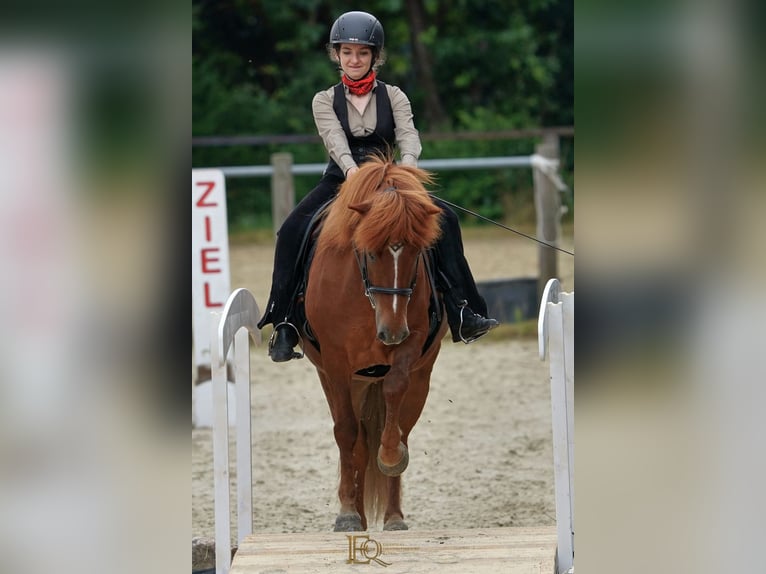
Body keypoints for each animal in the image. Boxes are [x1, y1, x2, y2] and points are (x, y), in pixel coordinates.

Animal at [302, 155, 450, 532]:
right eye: (369, 253)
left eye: (417, 252)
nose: (391, 331)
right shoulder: (336, 365)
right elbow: (346, 434)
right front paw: (346, 514)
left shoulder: (412, 343)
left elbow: (394, 398)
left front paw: (391, 457)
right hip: (342, 380)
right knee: (354, 442)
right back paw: (357, 514)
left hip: (418, 379)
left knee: (399, 429)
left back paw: (394, 515)